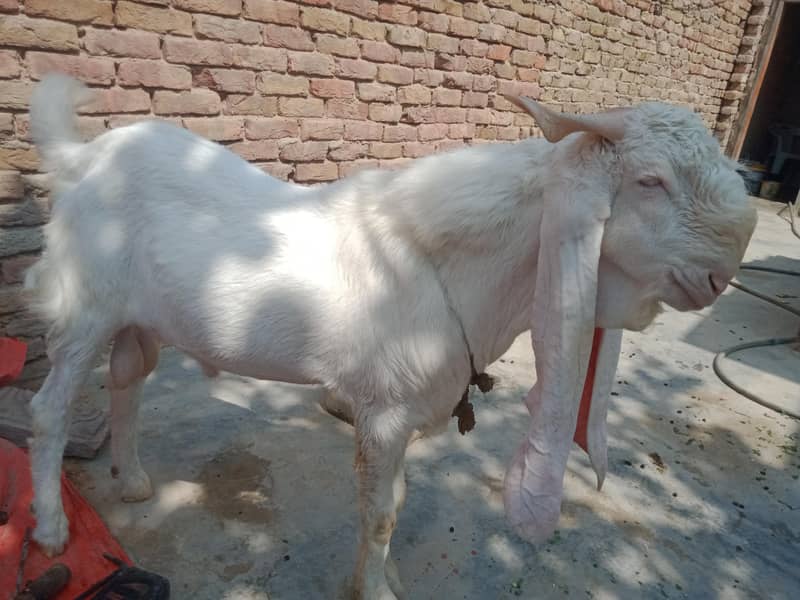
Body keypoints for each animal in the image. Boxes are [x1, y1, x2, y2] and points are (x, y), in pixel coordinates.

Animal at [25, 74, 756, 599]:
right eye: (651, 181)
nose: (719, 276)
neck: (448, 268)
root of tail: (83, 156)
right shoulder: (380, 411)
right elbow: (377, 513)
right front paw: (374, 591)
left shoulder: (404, 413)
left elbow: (395, 506)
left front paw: (385, 577)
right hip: (85, 306)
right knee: (49, 410)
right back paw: (52, 528)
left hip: (138, 317)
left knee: (128, 380)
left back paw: (132, 480)